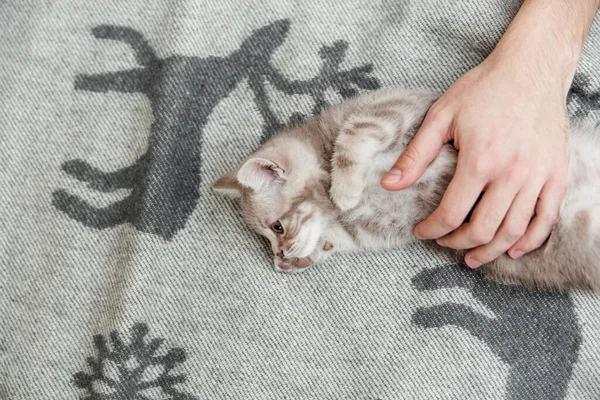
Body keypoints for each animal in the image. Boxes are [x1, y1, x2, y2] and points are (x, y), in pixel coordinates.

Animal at [212, 88, 600, 290]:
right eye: (267, 238)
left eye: (276, 227)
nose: (278, 256)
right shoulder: (377, 230)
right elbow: (339, 238)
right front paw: (304, 256)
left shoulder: (400, 108)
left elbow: (355, 133)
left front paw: (345, 188)